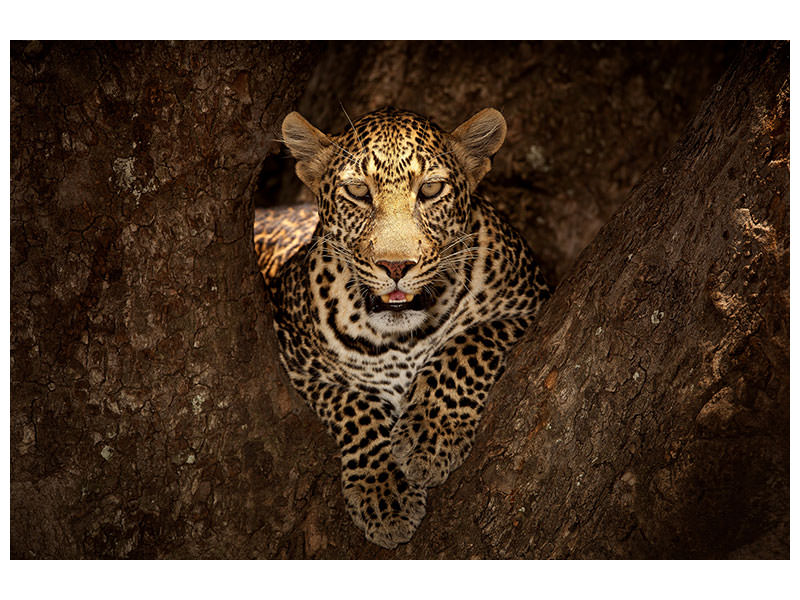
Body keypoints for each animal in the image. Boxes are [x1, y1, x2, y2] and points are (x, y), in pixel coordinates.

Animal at [254, 106, 550, 549]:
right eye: (358, 192)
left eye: (430, 189)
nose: (395, 266)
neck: (401, 339)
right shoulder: (297, 362)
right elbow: (354, 405)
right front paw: (384, 493)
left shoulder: (530, 304)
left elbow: (466, 345)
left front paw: (430, 436)